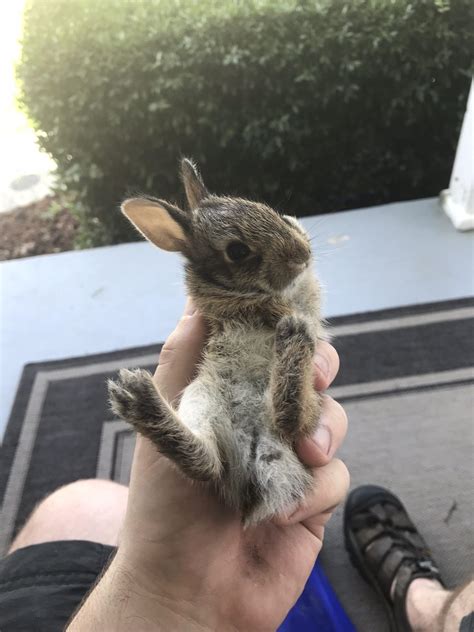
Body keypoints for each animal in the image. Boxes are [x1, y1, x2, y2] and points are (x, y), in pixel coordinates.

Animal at [109, 160, 328, 524]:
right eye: (237, 251)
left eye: (271, 211)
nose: (303, 255)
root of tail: (258, 453)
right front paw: (283, 313)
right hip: (202, 399)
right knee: (210, 463)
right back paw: (138, 399)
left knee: (286, 423)